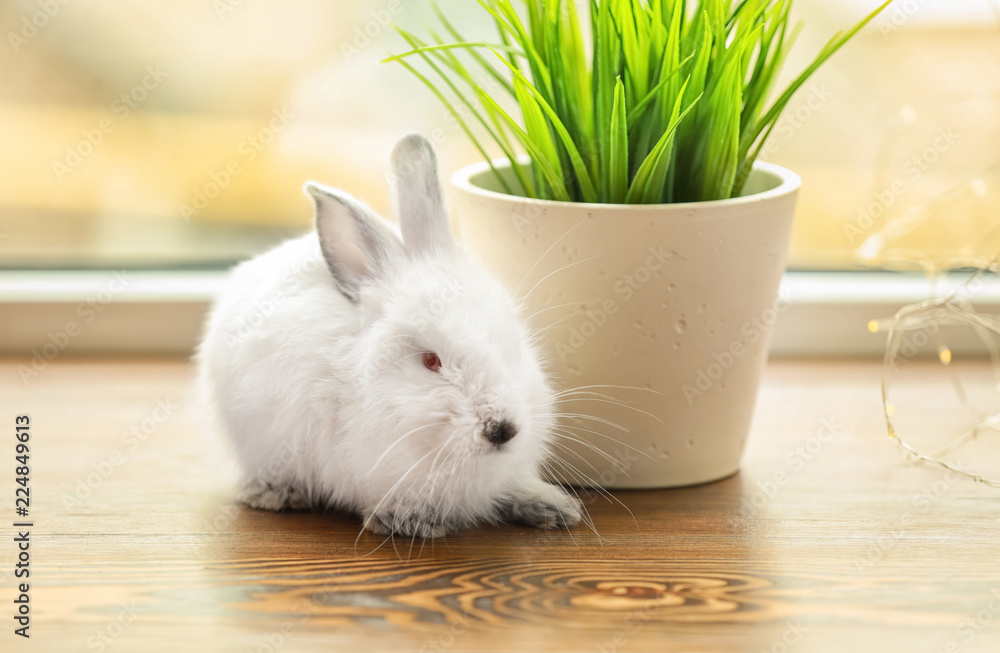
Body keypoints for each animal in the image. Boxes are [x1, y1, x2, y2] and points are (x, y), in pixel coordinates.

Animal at [198, 135, 584, 536]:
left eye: (511, 346)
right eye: (431, 361)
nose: (502, 430)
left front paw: (555, 507)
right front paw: (409, 521)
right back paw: (279, 494)